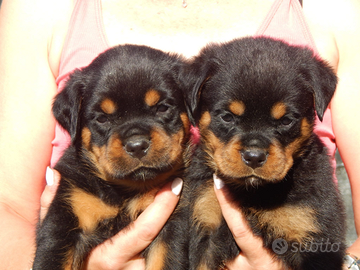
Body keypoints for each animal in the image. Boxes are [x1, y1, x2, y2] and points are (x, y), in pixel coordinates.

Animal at [33, 44, 191, 270]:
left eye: (162, 107)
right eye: (102, 118)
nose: (137, 145)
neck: (124, 191)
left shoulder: (172, 226)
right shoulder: (67, 214)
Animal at [186, 37, 346, 270]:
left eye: (286, 120)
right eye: (227, 116)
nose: (254, 157)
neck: (253, 192)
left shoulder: (314, 237)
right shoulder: (206, 221)